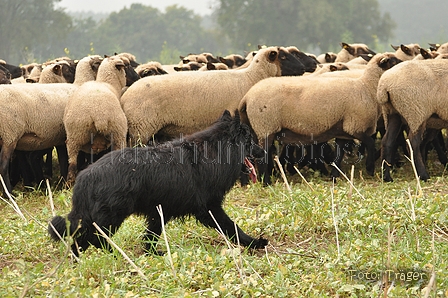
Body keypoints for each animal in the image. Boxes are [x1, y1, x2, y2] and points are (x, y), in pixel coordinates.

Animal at [49, 110, 266, 255]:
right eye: (251, 141)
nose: (263, 152)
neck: (216, 151)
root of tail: (84, 178)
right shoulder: (210, 208)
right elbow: (232, 227)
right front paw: (254, 242)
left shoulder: (161, 211)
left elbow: (151, 235)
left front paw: (152, 253)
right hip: (111, 216)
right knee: (94, 238)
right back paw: (117, 254)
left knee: (82, 240)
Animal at [64, 55, 132, 184]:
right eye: (126, 66)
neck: (106, 82)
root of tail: (99, 114)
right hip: (118, 134)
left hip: (75, 135)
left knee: (72, 164)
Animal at [240, 52, 400, 185]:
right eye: (393, 62)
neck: (367, 86)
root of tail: (247, 97)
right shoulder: (355, 125)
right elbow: (370, 143)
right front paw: (370, 168)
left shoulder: (343, 129)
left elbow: (339, 155)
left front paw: (334, 176)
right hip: (266, 126)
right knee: (262, 158)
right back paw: (266, 182)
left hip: (257, 129)